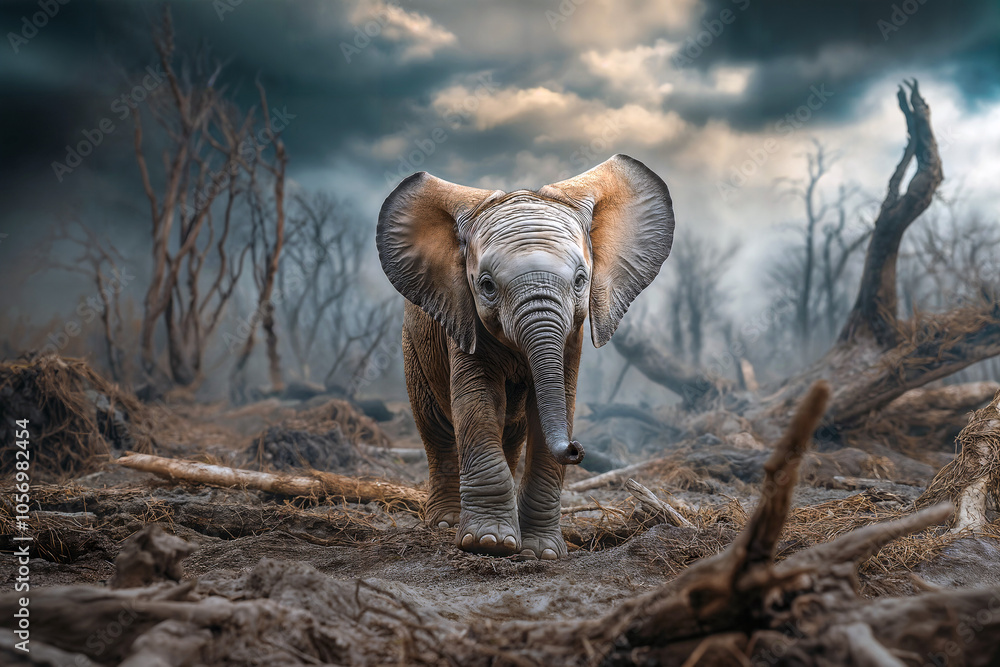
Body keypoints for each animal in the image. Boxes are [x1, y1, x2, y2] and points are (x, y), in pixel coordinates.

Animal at [376, 154, 674, 559]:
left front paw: (541, 552)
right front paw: (488, 544)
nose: (577, 448)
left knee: (512, 432)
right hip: (413, 344)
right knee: (435, 428)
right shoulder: (464, 316)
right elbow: (477, 402)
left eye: (580, 281)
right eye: (486, 286)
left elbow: (559, 400)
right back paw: (445, 524)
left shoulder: (572, 337)